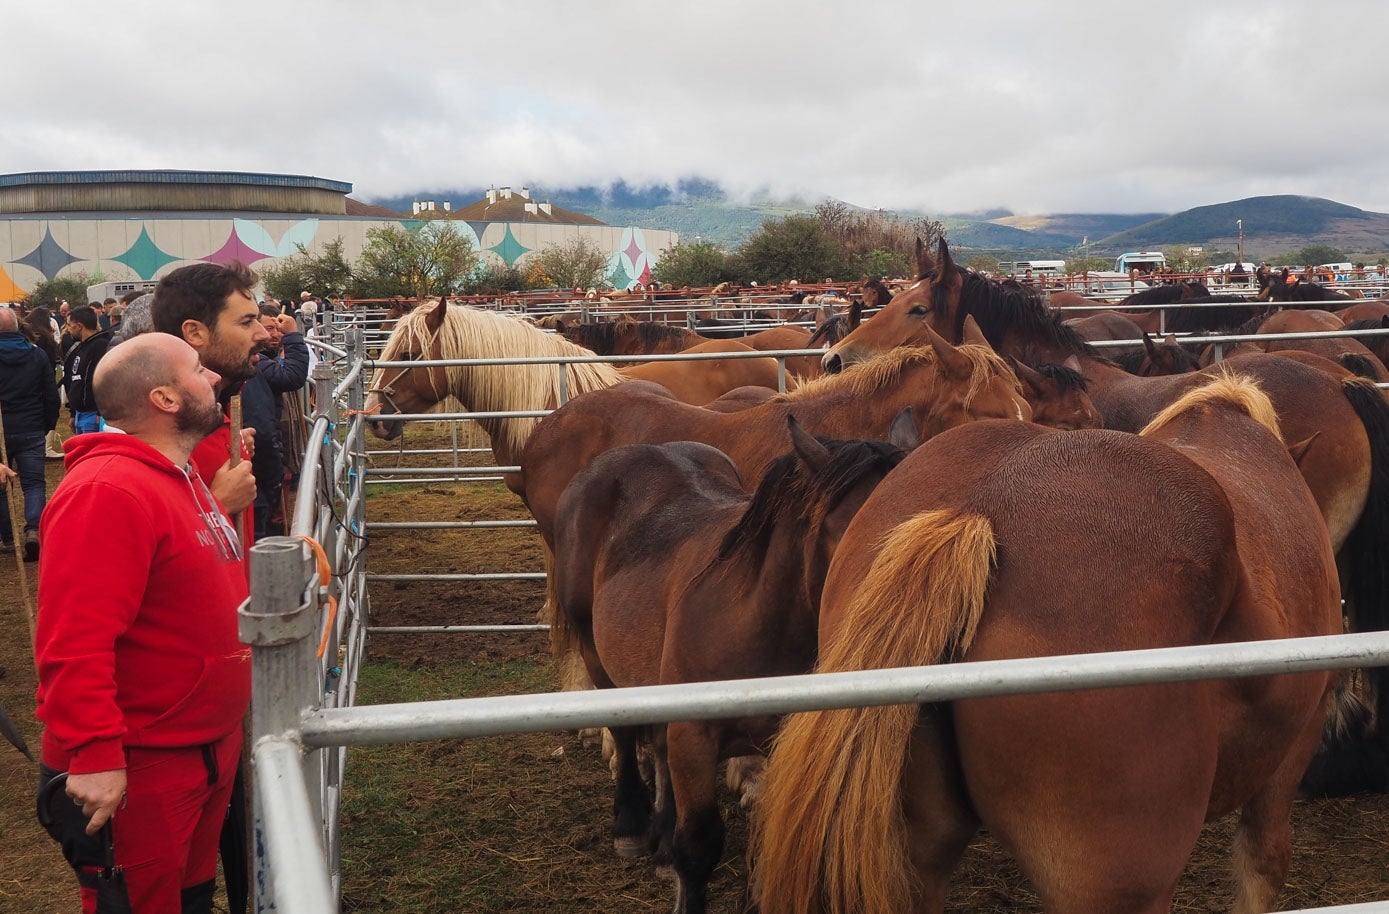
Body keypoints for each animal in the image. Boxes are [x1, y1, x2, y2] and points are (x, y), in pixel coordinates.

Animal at [552, 419, 911, 911]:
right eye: (848, 537)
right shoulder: (695, 738)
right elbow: (699, 847)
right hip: (596, 651)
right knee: (625, 735)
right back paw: (631, 825)